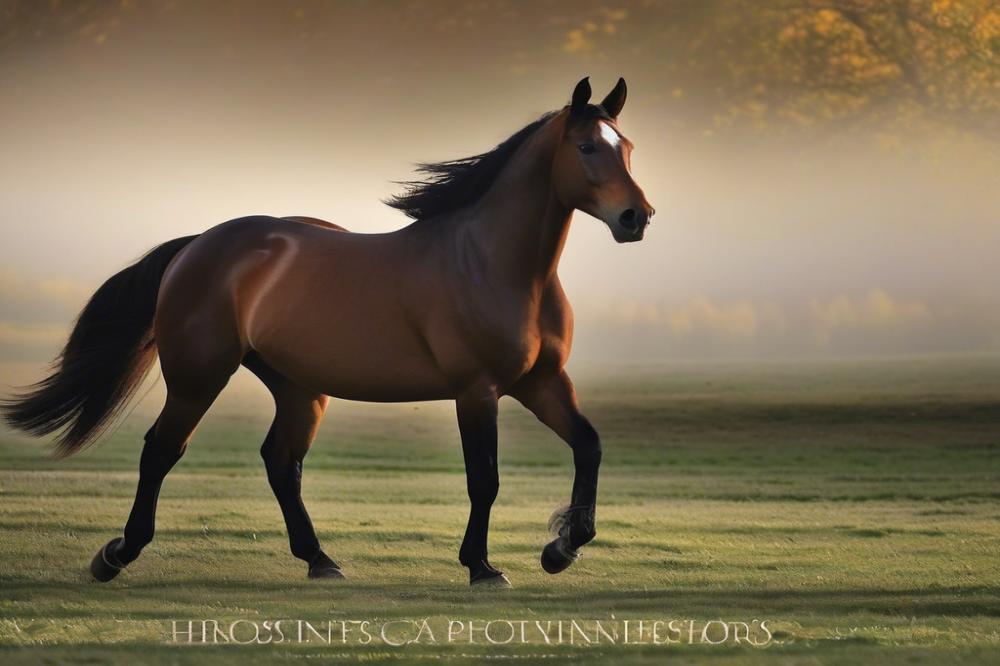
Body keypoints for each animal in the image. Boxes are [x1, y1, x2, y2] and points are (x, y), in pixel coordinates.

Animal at [3, 76, 656, 588]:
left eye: (626, 147)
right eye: (585, 146)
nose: (637, 218)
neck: (494, 264)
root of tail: (198, 245)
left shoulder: (541, 382)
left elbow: (589, 445)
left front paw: (560, 549)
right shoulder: (478, 392)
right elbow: (485, 480)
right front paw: (483, 566)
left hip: (298, 388)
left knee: (280, 462)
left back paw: (320, 559)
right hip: (198, 377)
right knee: (162, 450)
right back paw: (116, 555)